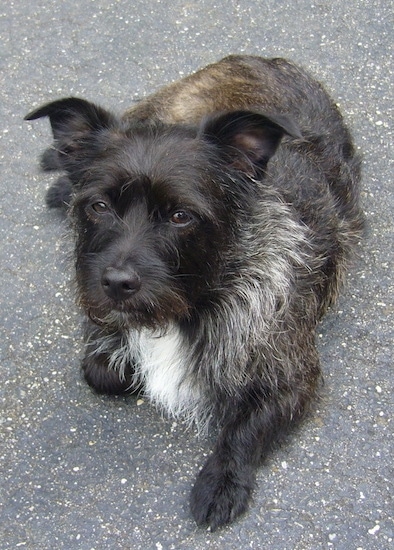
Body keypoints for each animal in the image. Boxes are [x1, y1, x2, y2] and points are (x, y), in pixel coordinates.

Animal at [24, 56, 364, 532]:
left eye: (181, 216)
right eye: (99, 206)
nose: (117, 283)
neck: (195, 302)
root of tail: (265, 60)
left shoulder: (292, 377)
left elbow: (243, 428)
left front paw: (222, 481)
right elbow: (103, 370)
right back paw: (58, 175)